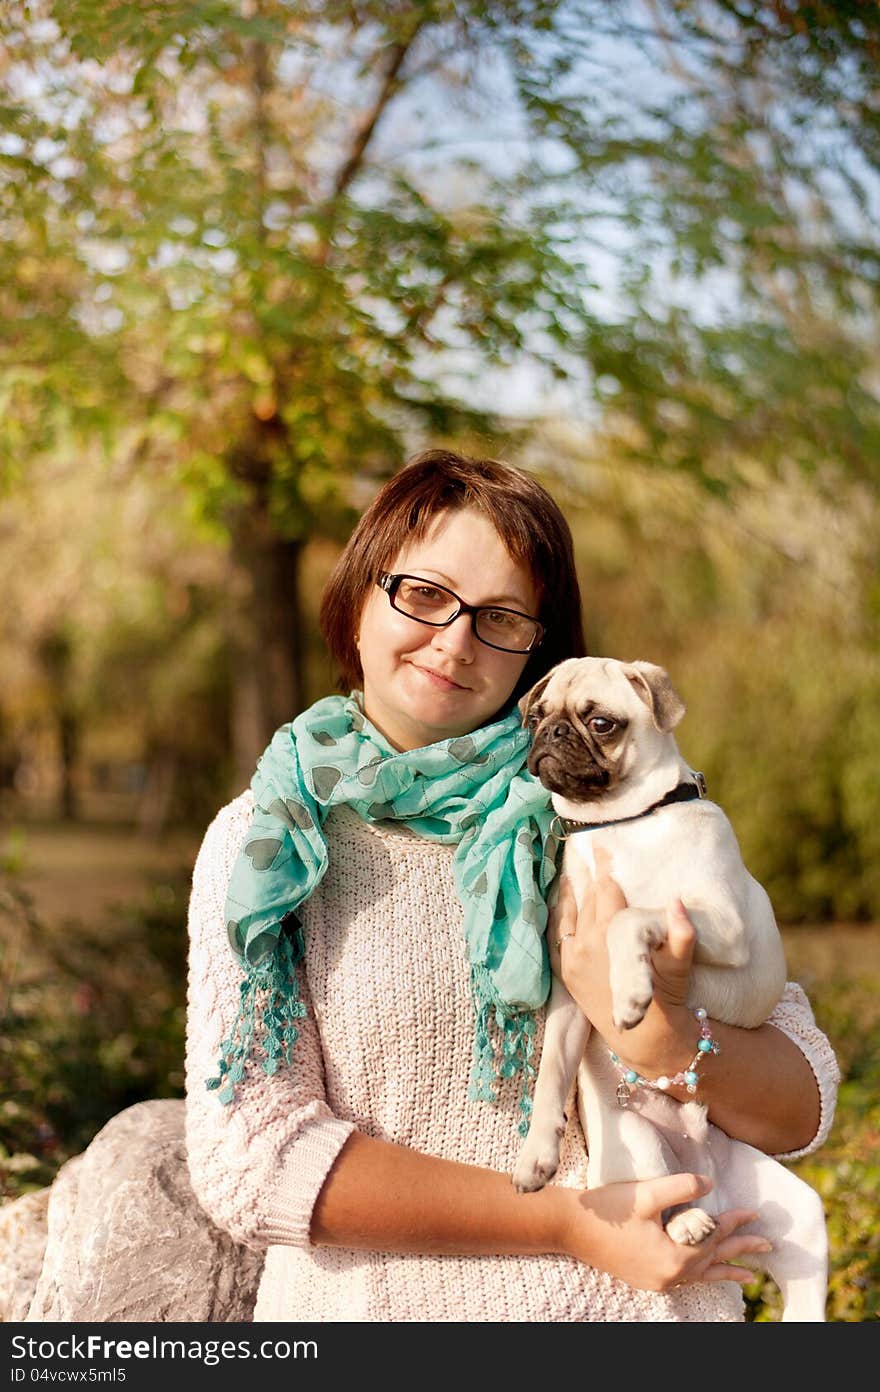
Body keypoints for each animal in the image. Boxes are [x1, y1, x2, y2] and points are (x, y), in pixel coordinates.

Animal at [512, 657, 829, 1319]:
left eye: (601, 723)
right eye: (535, 716)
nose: (551, 733)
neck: (618, 824)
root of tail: (712, 1182)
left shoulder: (717, 922)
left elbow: (632, 918)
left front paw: (633, 992)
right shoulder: (569, 998)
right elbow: (552, 1072)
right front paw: (537, 1153)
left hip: (804, 1225)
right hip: (639, 1148)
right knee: (666, 1202)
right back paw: (685, 1222)